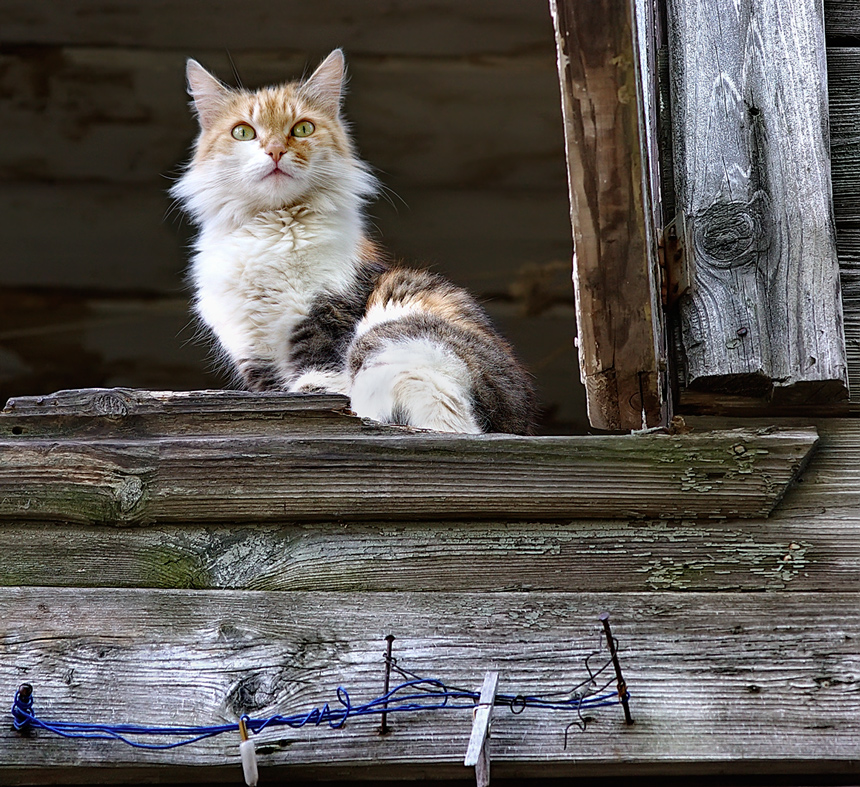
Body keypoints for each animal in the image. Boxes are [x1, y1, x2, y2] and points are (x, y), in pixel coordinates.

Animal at [170, 49, 536, 434]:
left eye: (302, 128)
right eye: (243, 132)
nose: (275, 151)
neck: (271, 230)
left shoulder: (329, 307)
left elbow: (319, 370)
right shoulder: (253, 350)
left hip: (392, 341)